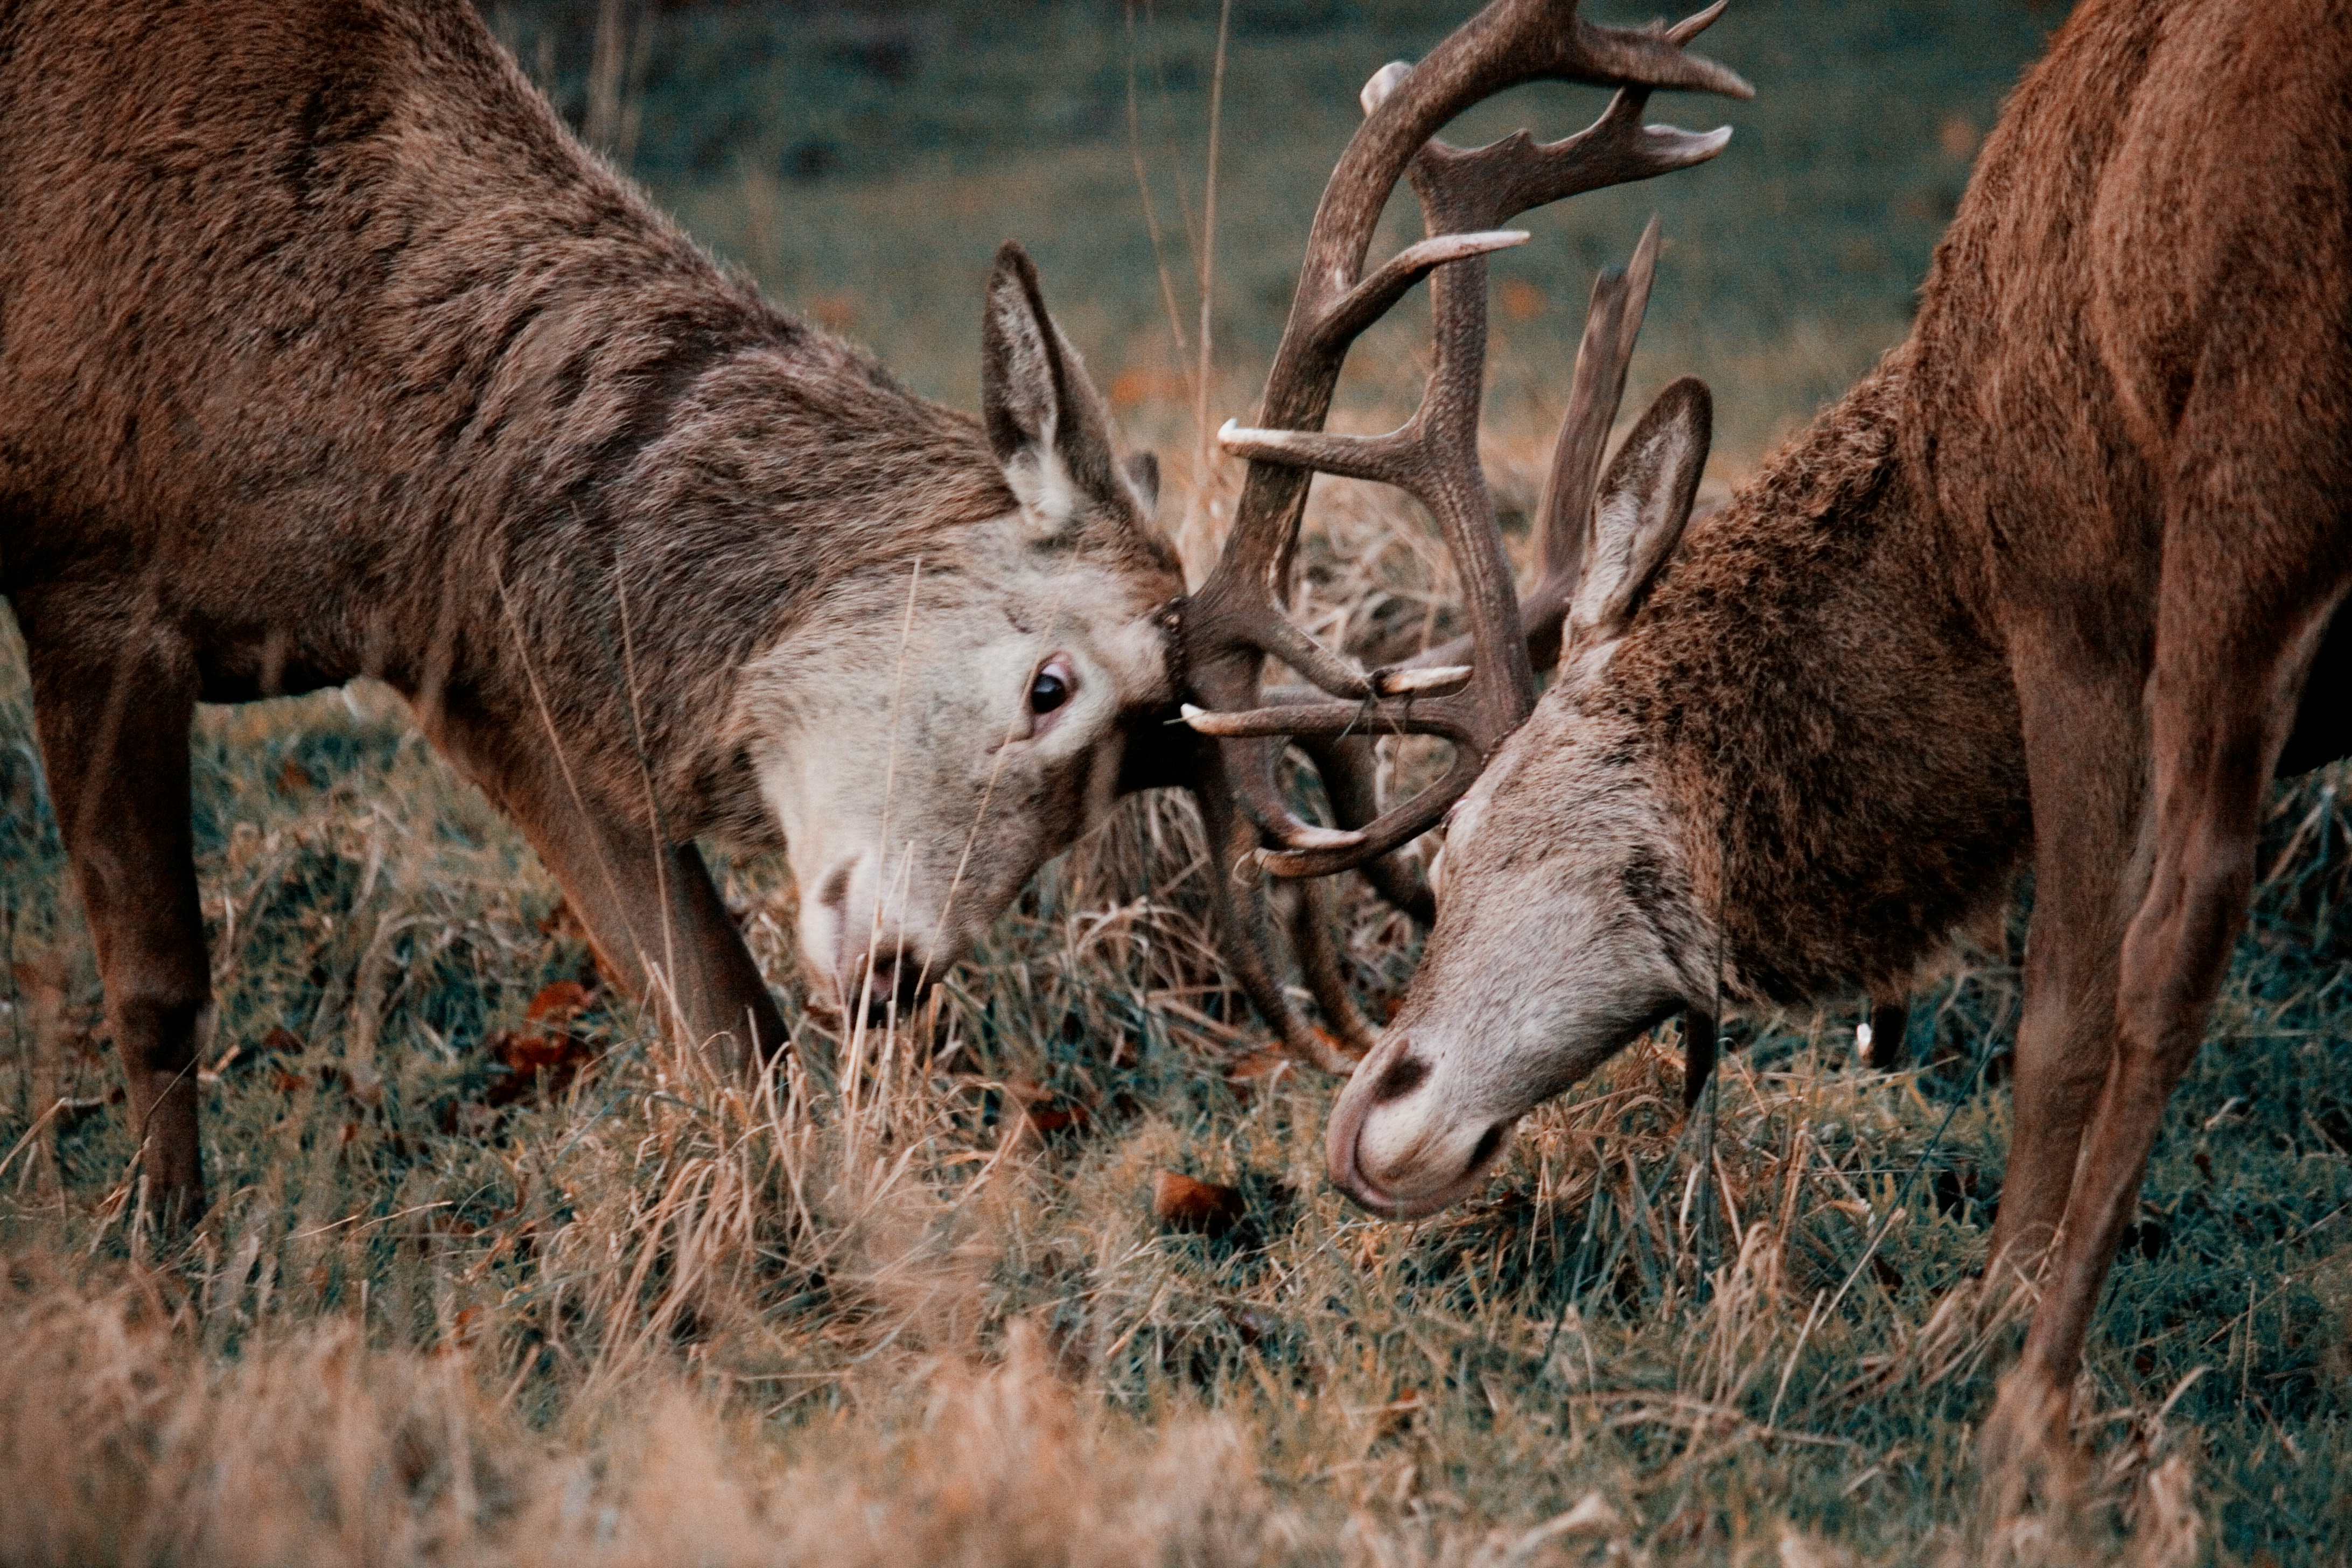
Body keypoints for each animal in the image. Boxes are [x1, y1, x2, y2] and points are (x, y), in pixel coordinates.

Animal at [0, 0, 1209, 1219]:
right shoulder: (86, 574)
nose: (892, 980)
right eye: (1049, 686)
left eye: (1112, 792)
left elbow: (719, 1007)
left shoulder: (477, 667)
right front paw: (165, 1236)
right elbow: (158, 984)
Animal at [1176, 0, 2350, 1478]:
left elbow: (2066, 1007)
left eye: (1463, 845)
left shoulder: (2072, 604)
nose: (1365, 1121)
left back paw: (2030, 1393)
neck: (1944, 552)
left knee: (2181, 924)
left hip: (2259, 449)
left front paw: (1988, 1317)